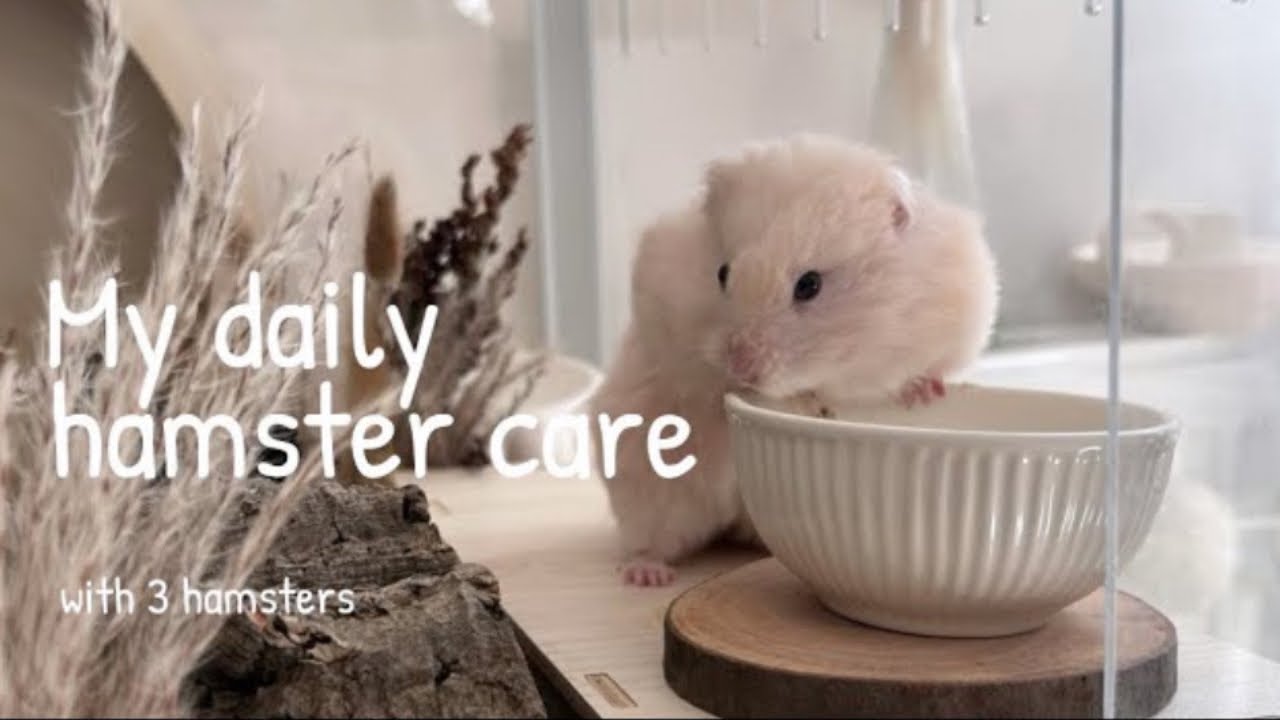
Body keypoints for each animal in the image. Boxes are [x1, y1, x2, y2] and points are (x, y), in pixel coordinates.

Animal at [591, 133, 999, 587]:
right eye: (722, 273)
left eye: (810, 285)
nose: (741, 364)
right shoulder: (660, 314)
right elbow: (696, 382)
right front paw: (732, 397)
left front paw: (924, 391)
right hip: (646, 485)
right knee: (648, 539)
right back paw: (648, 575)